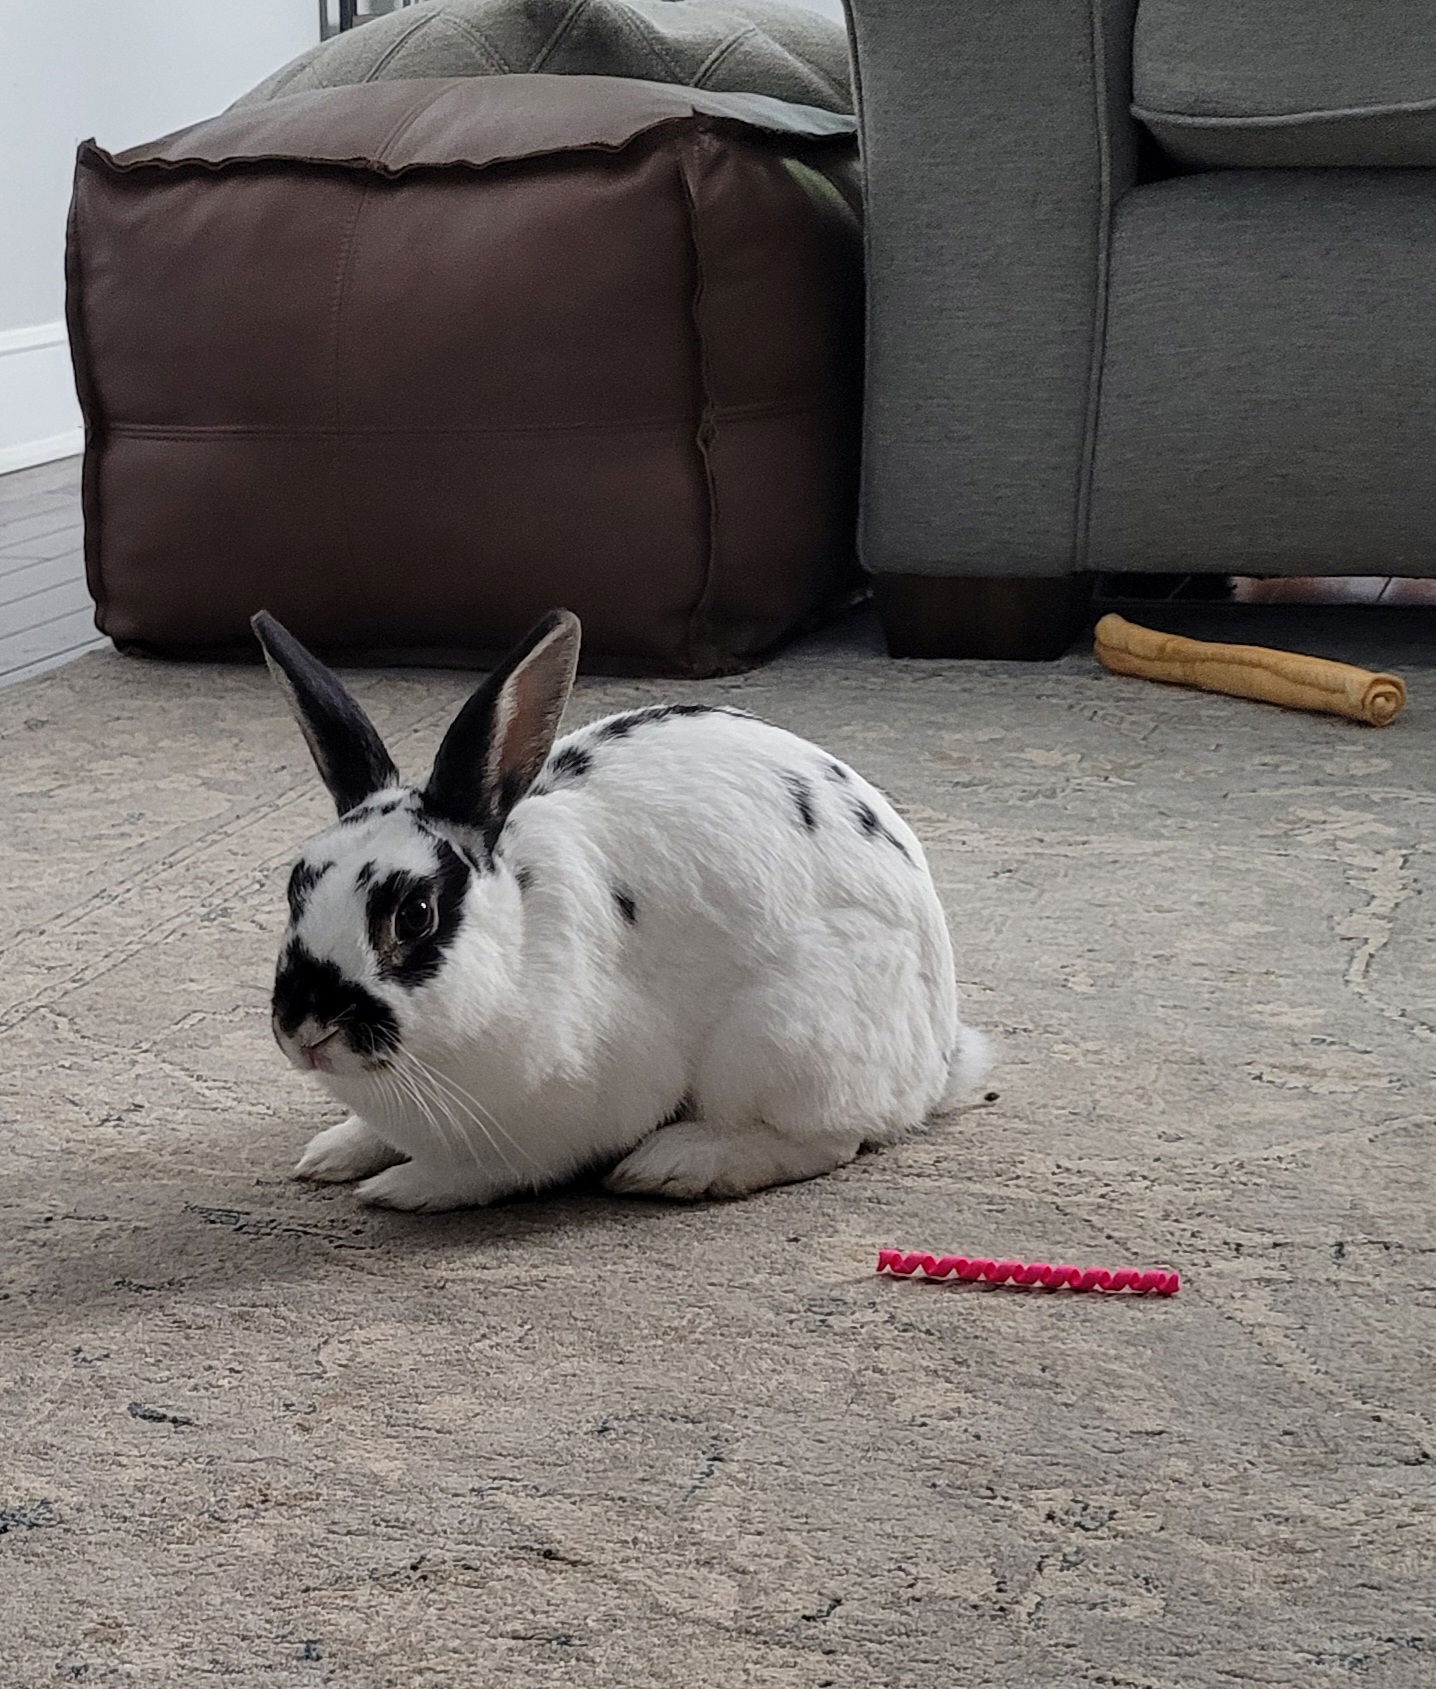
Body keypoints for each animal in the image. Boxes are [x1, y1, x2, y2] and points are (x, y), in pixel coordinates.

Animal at [251, 601, 986, 1209]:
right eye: (294, 886)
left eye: (415, 914)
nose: (304, 1027)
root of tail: (934, 1058)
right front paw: (334, 1153)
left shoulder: (561, 1118)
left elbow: (487, 1172)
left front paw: (402, 1187)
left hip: (784, 1036)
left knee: (826, 1137)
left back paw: (676, 1164)